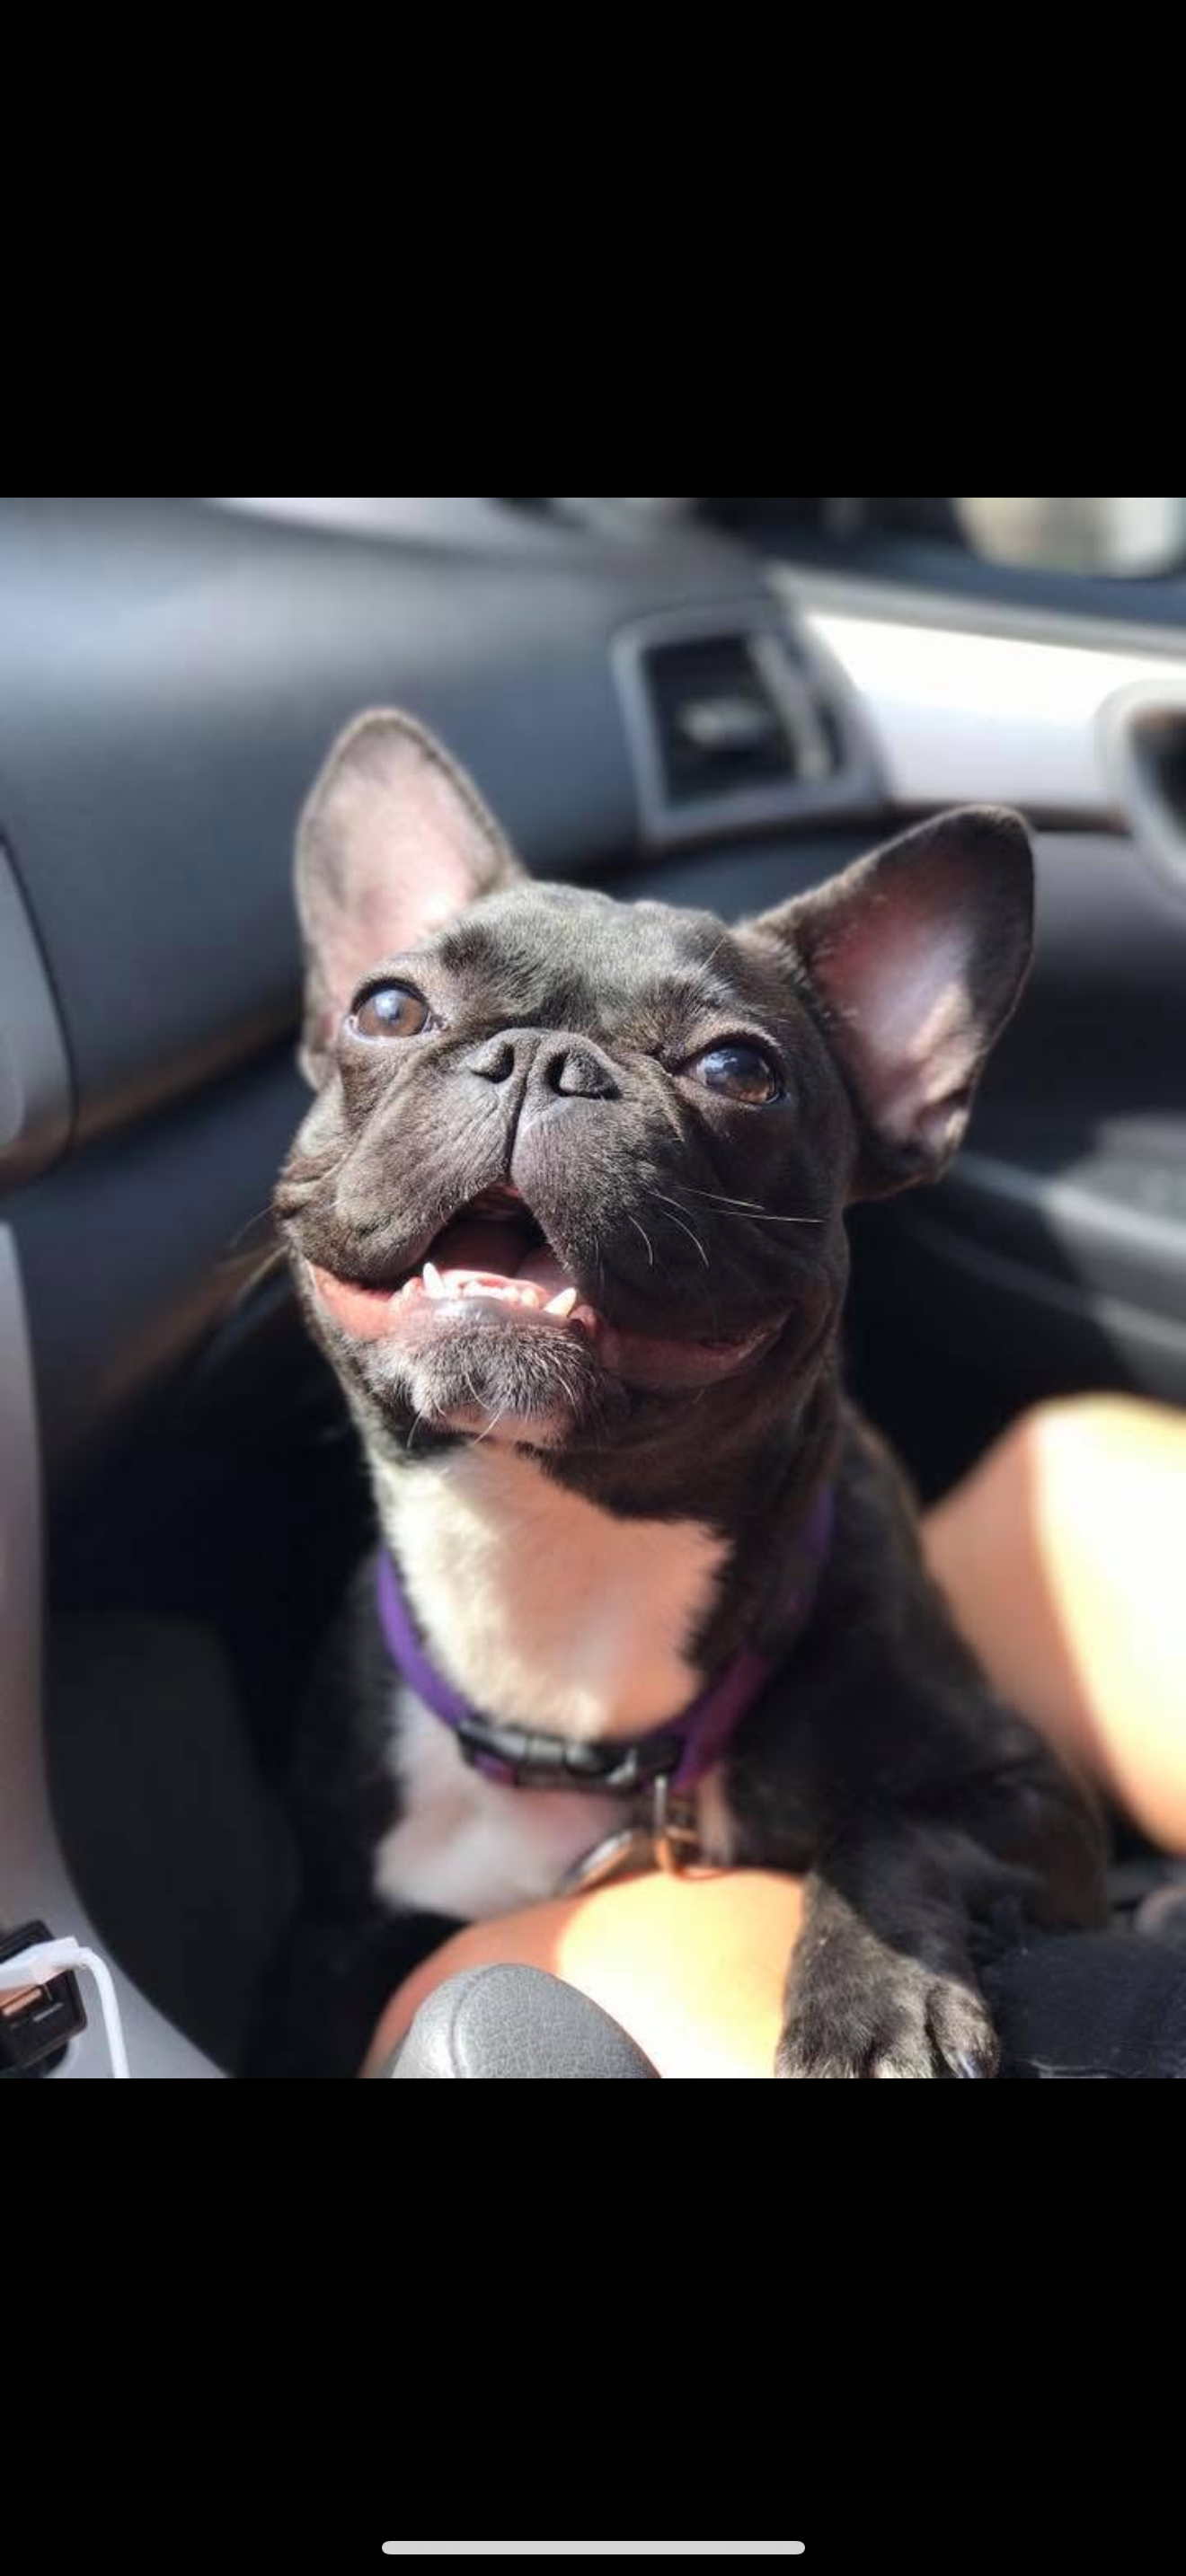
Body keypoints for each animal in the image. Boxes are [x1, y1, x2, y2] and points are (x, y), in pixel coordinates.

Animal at [244, 710, 1106, 2077]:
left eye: (740, 1070)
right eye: (386, 1007)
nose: (540, 1059)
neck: (553, 1542)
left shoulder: (1031, 1797)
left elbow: (894, 1829)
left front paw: (877, 1999)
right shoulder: (333, 1932)